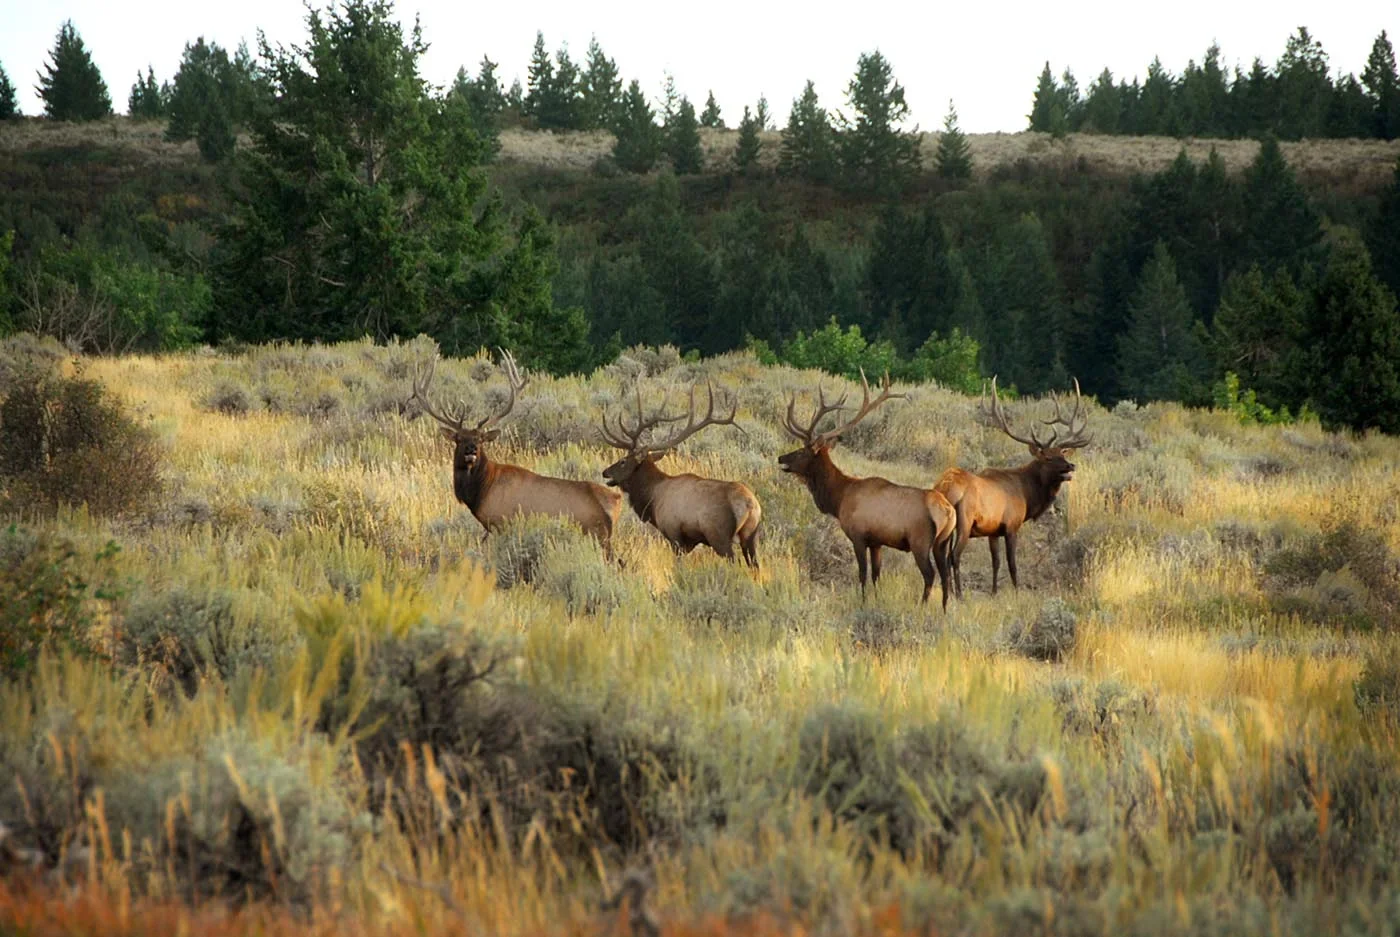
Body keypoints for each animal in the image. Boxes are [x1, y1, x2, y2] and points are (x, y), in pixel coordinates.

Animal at [410, 350, 623, 559]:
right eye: (459, 439)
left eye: (480, 439)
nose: (471, 450)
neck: (482, 490)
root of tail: (615, 501)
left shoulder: (502, 522)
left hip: (597, 535)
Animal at [599, 382, 763, 567]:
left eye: (623, 461)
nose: (605, 472)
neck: (653, 499)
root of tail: (750, 505)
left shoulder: (674, 533)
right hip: (752, 537)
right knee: (756, 565)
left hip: (719, 535)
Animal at [778, 371, 955, 609]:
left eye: (801, 452)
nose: (781, 457)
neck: (839, 498)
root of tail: (948, 511)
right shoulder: (877, 542)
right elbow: (876, 575)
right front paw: (876, 599)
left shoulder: (858, 536)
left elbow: (862, 573)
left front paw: (862, 601)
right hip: (942, 543)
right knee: (946, 576)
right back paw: (944, 609)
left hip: (921, 541)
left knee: (930, 575)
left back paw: (922, 606)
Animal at [935, 376, 1092, 597]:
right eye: (1048, 457)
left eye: (1062, 453)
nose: (1071, 466)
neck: (1027, 495)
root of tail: (945, 487)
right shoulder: (1011, 524)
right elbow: (1012, 563)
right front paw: (1017, 591)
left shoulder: (993, 530)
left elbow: (996, 562)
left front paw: (994, 592)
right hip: (964, 520)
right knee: (954, 556)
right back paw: (959, 594)